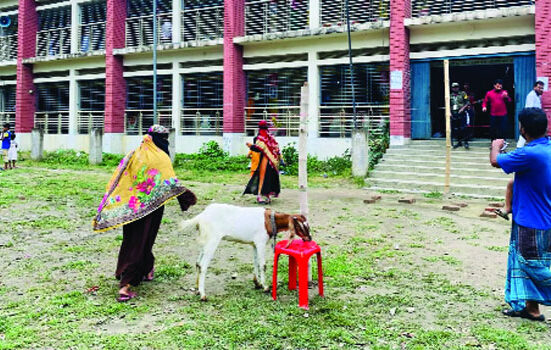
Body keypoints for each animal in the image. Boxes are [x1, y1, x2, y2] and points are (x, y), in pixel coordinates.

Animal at [181, 204, 310, 300]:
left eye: (307, 226)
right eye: (301, 226)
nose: (309, 238)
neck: (269, 219)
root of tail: (201, 217)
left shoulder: (254, 244)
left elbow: (255, 262)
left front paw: (257, 283)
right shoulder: (261, 243)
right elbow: (263, 265)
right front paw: (265, 287)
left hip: (206, 241)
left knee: (198, 263)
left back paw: (197, 289)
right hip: (213, 240)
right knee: (203, 265)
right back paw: (203, 295)